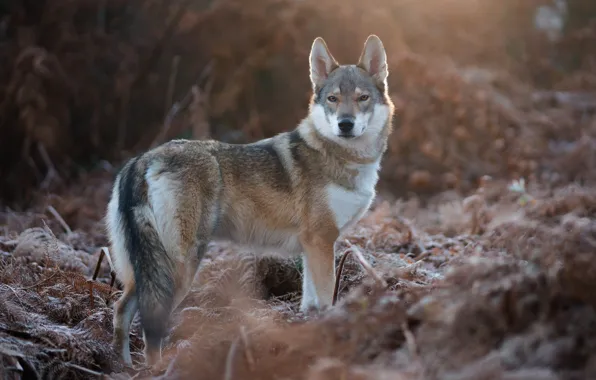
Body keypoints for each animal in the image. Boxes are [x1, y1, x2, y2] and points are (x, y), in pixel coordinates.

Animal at [107, 35, 396, 366]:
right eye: (333, 99)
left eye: (362, 98)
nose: (345, 124)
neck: (342, 157)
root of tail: (142, 159)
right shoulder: (322, 241)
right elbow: (326, 299)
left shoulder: (312, 247)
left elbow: (310, 302)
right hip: (179, 269)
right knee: (149, 325)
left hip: (143, 271)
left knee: (121, 310)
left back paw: (123, 367)